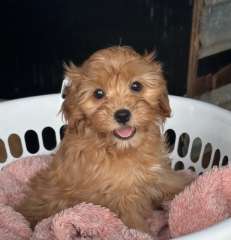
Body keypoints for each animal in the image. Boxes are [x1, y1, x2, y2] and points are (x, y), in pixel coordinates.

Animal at [15, 46, 189, 232]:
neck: (122, 148)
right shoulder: (123, 199)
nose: (122, 115)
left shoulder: (159, 174)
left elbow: (175, 183)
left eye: (136, 86)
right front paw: (143, 233)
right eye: (98, 93)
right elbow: (135, 226)